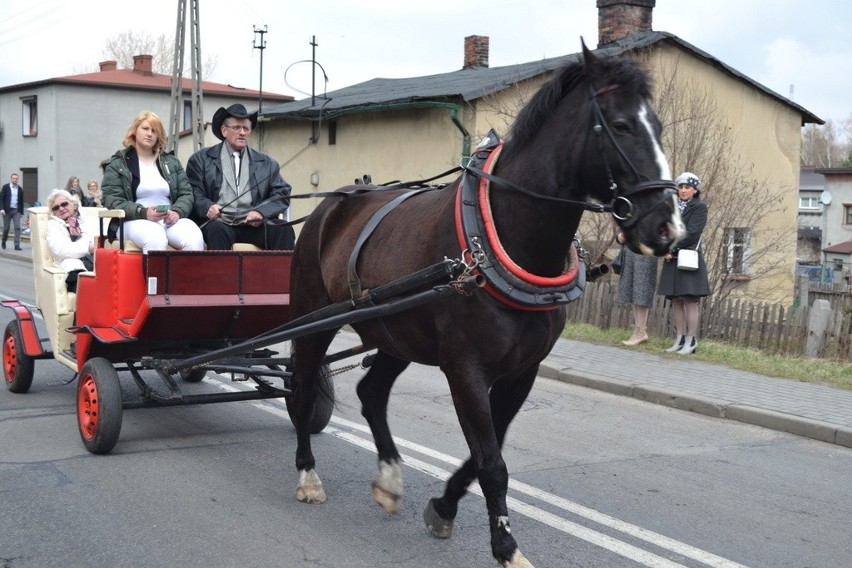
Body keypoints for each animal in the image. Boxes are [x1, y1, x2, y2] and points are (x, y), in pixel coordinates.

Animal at [286, 45, 684, 568]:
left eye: (656, 125)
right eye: (620, 125)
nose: (668, 228)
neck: (502, 239)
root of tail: (334, 202)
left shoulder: (522, 372)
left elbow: (483, 455)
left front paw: (443, 507)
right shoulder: (466, 369)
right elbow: (492, 462)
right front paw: (507, 546)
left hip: (395, 334)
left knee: (371, 393)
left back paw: (389, 478)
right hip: (315, 319)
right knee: (301, 391)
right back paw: (308, 474)